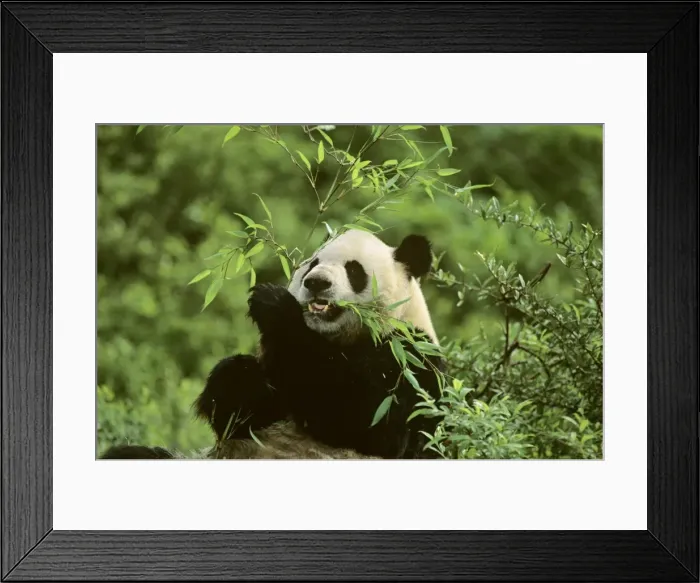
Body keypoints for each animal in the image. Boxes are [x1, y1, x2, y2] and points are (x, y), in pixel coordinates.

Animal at [101, 230, 444, 460]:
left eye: (353, 269)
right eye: (312, 263)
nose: (316, 283)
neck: (337, 339)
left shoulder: (411, 359)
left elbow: (366, 418)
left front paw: (274, 305)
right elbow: (242, 410)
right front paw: (239, 377)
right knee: (130, 455)